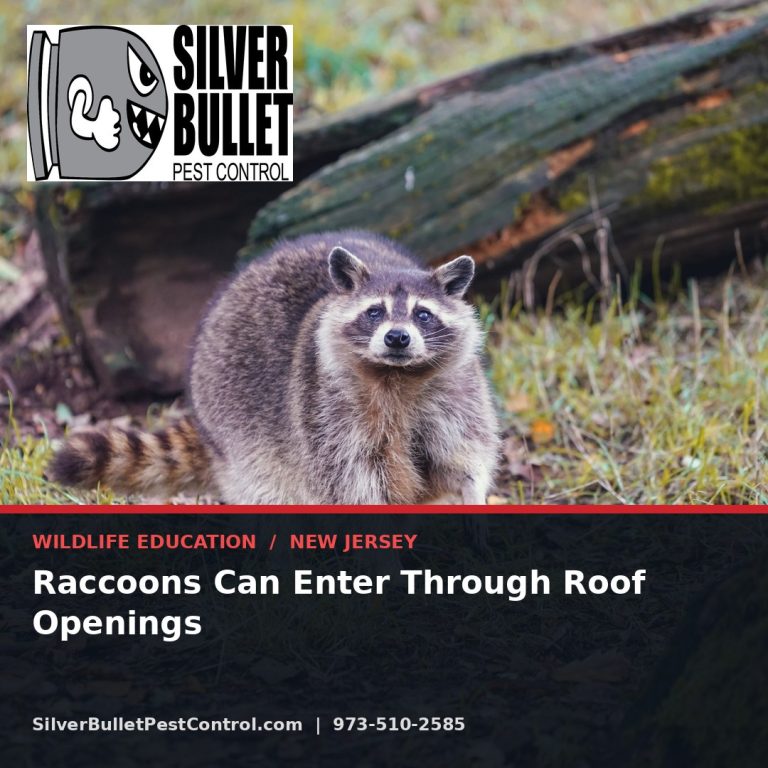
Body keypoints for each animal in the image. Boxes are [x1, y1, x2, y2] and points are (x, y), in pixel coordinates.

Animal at [50, 231, 500, 508]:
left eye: (423, 315)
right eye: (375, 312)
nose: (397, 339)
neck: (398, 376)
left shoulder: (458, 393)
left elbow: (465, 457)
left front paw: (472, 495)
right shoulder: (328, 413)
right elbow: (356, 480)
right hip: (241, 440)